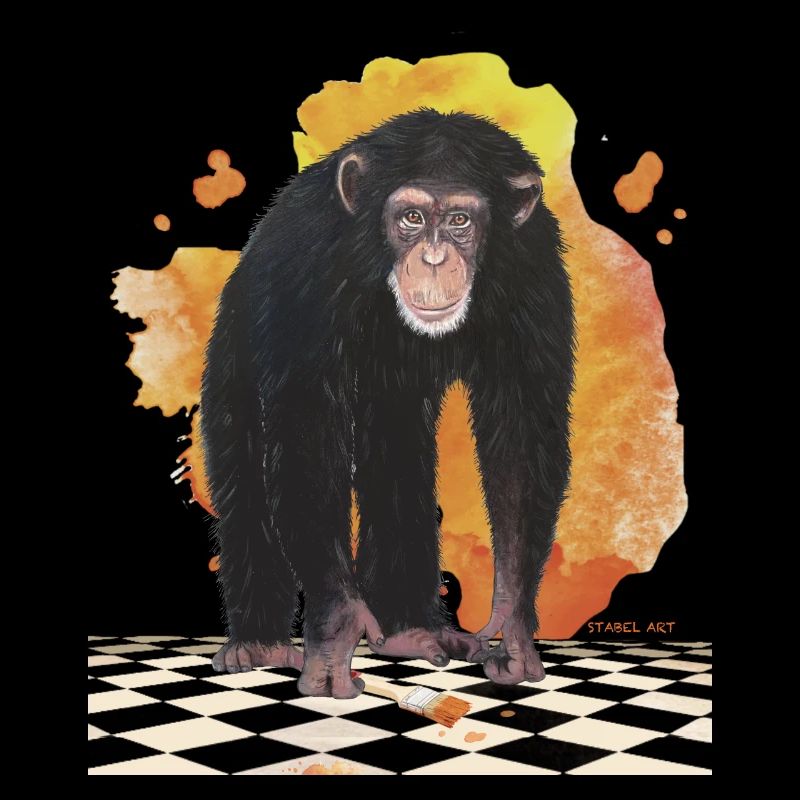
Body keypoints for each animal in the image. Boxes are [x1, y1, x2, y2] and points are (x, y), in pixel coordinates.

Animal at [201, 110, 575, 697]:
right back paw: (257, 644)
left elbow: (519, 441)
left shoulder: (535, 272)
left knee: (397, 453)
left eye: (461, 220)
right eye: (413, 217)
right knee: (242, 455)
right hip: (233, 330)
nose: (434, 256)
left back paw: (410, 632)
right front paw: (339, 628)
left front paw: (514, 630)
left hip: (393, 393)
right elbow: (305, 433)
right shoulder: (308, 268)